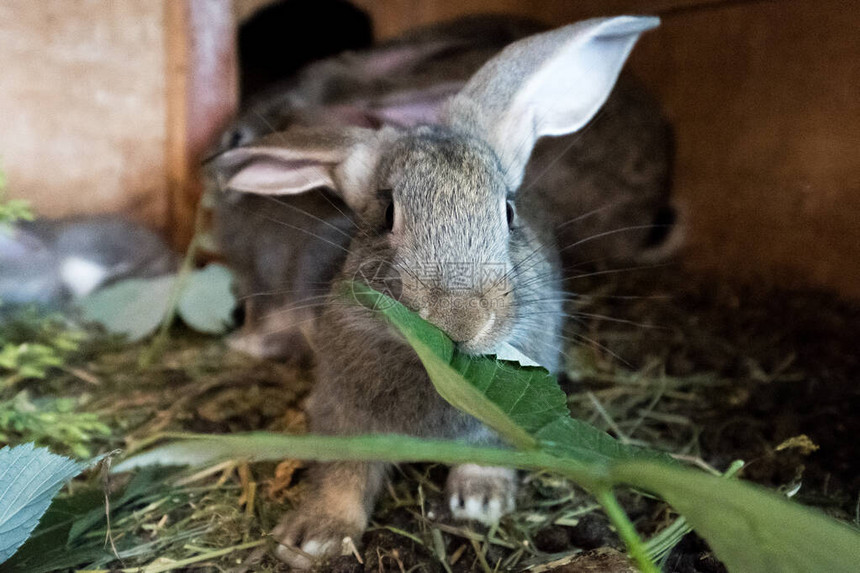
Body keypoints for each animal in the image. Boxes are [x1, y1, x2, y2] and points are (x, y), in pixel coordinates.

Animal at [210, 15, 664, 564]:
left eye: (509, 212)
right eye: (387, 215)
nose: (459, 319)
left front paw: (481, 502)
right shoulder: (341, 411)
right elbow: (342, 474)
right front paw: (311, 539)